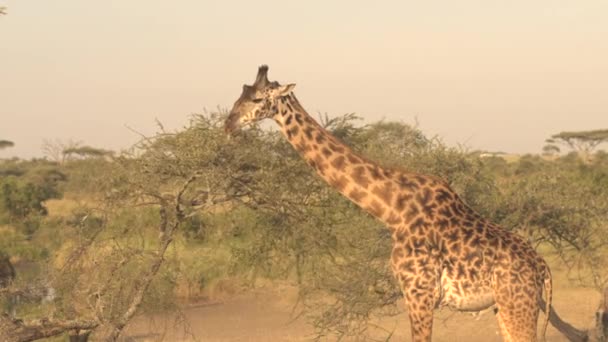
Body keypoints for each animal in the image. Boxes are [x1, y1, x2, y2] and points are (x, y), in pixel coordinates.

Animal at [226, 65, 552, 340]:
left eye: (257, 98)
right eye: (241, 93)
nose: (229, 123)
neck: (391, 209)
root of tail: (543, 269)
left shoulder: (419, 292)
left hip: (517, 304)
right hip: (505, 307)